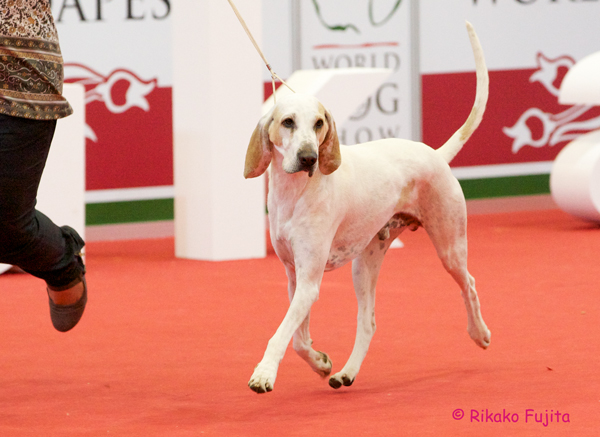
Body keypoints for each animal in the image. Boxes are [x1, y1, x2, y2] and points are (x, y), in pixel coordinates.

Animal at [245, 23, 492, 392]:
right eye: (287, 122)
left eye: (319, 123)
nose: (309, 158)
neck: (296, 193)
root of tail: (435, 154)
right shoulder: (295, 277)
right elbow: (299, 340)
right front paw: (321, 363)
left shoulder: (309, 282)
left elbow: (281, 335)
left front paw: (264, 373)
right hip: (364, 266)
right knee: (368, 323)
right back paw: (347, 372)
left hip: (450, 247)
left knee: (470, 284)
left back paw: (479, 333)